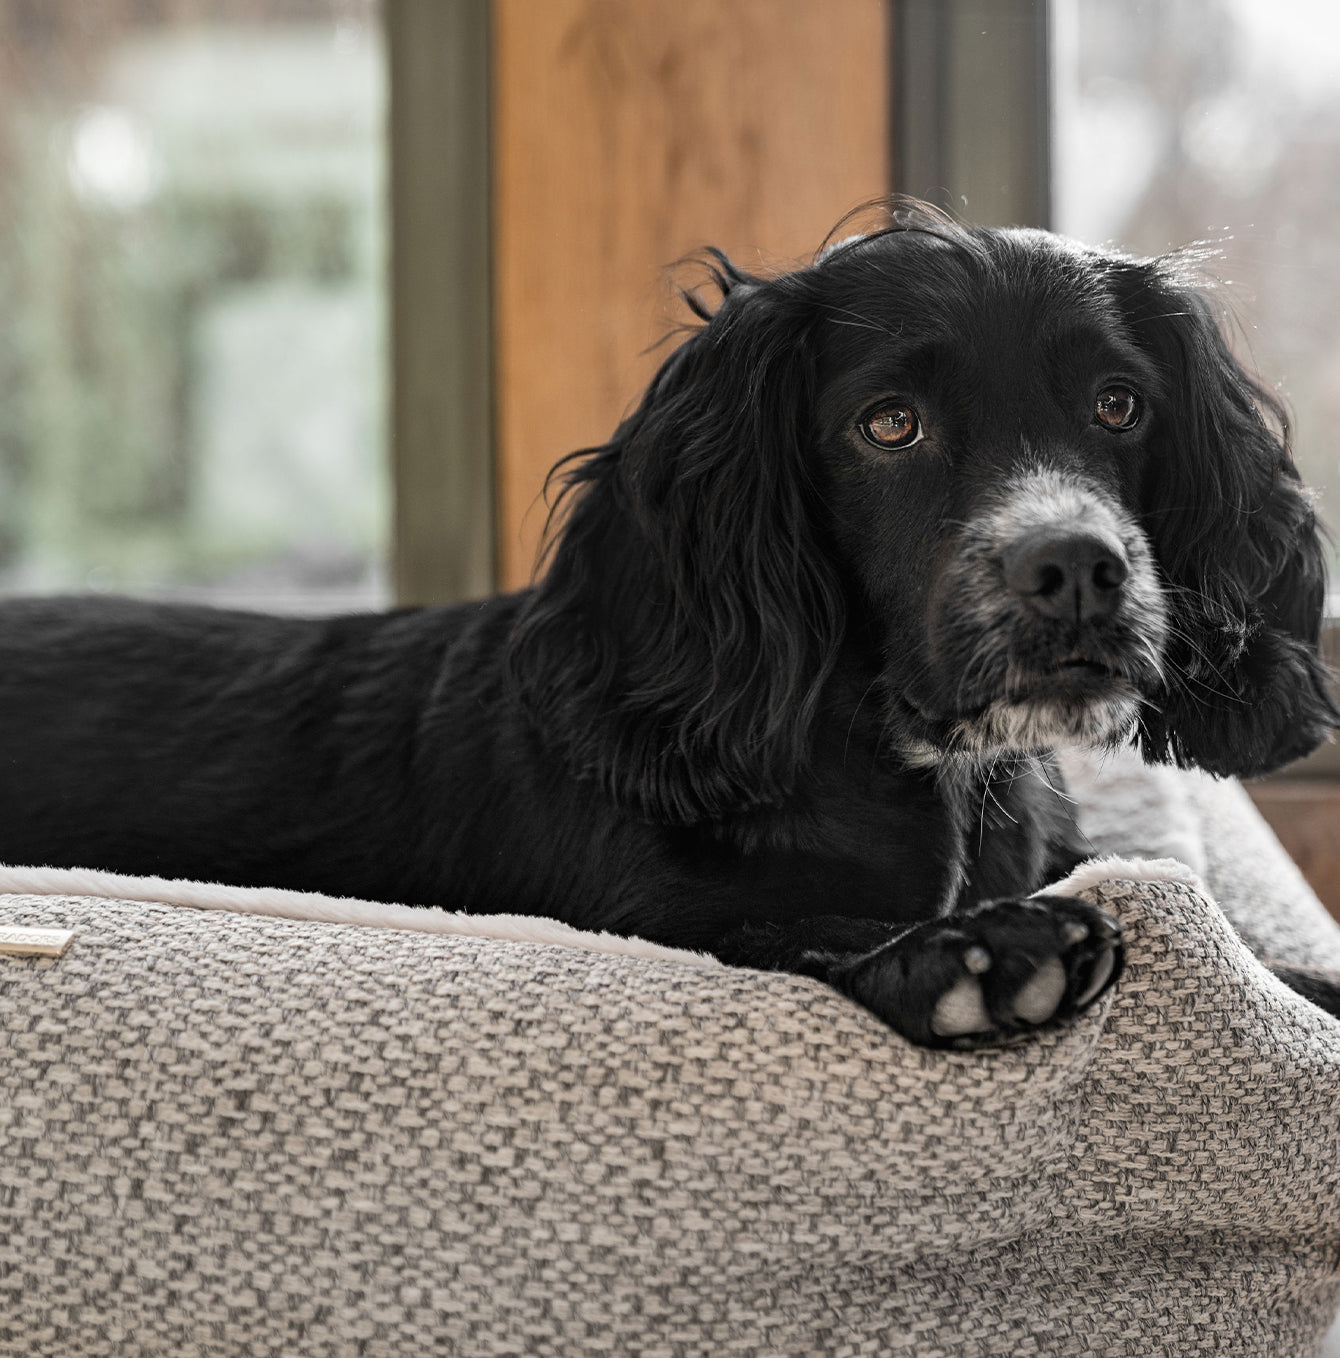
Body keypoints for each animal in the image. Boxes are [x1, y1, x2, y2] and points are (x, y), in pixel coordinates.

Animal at [2, 206, 1340, 1042]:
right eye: (887, 424)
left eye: (1118, 403)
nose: (1074, 568)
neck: (920, 769)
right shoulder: (654, 917)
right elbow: (787, 927)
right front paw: (977, 952)